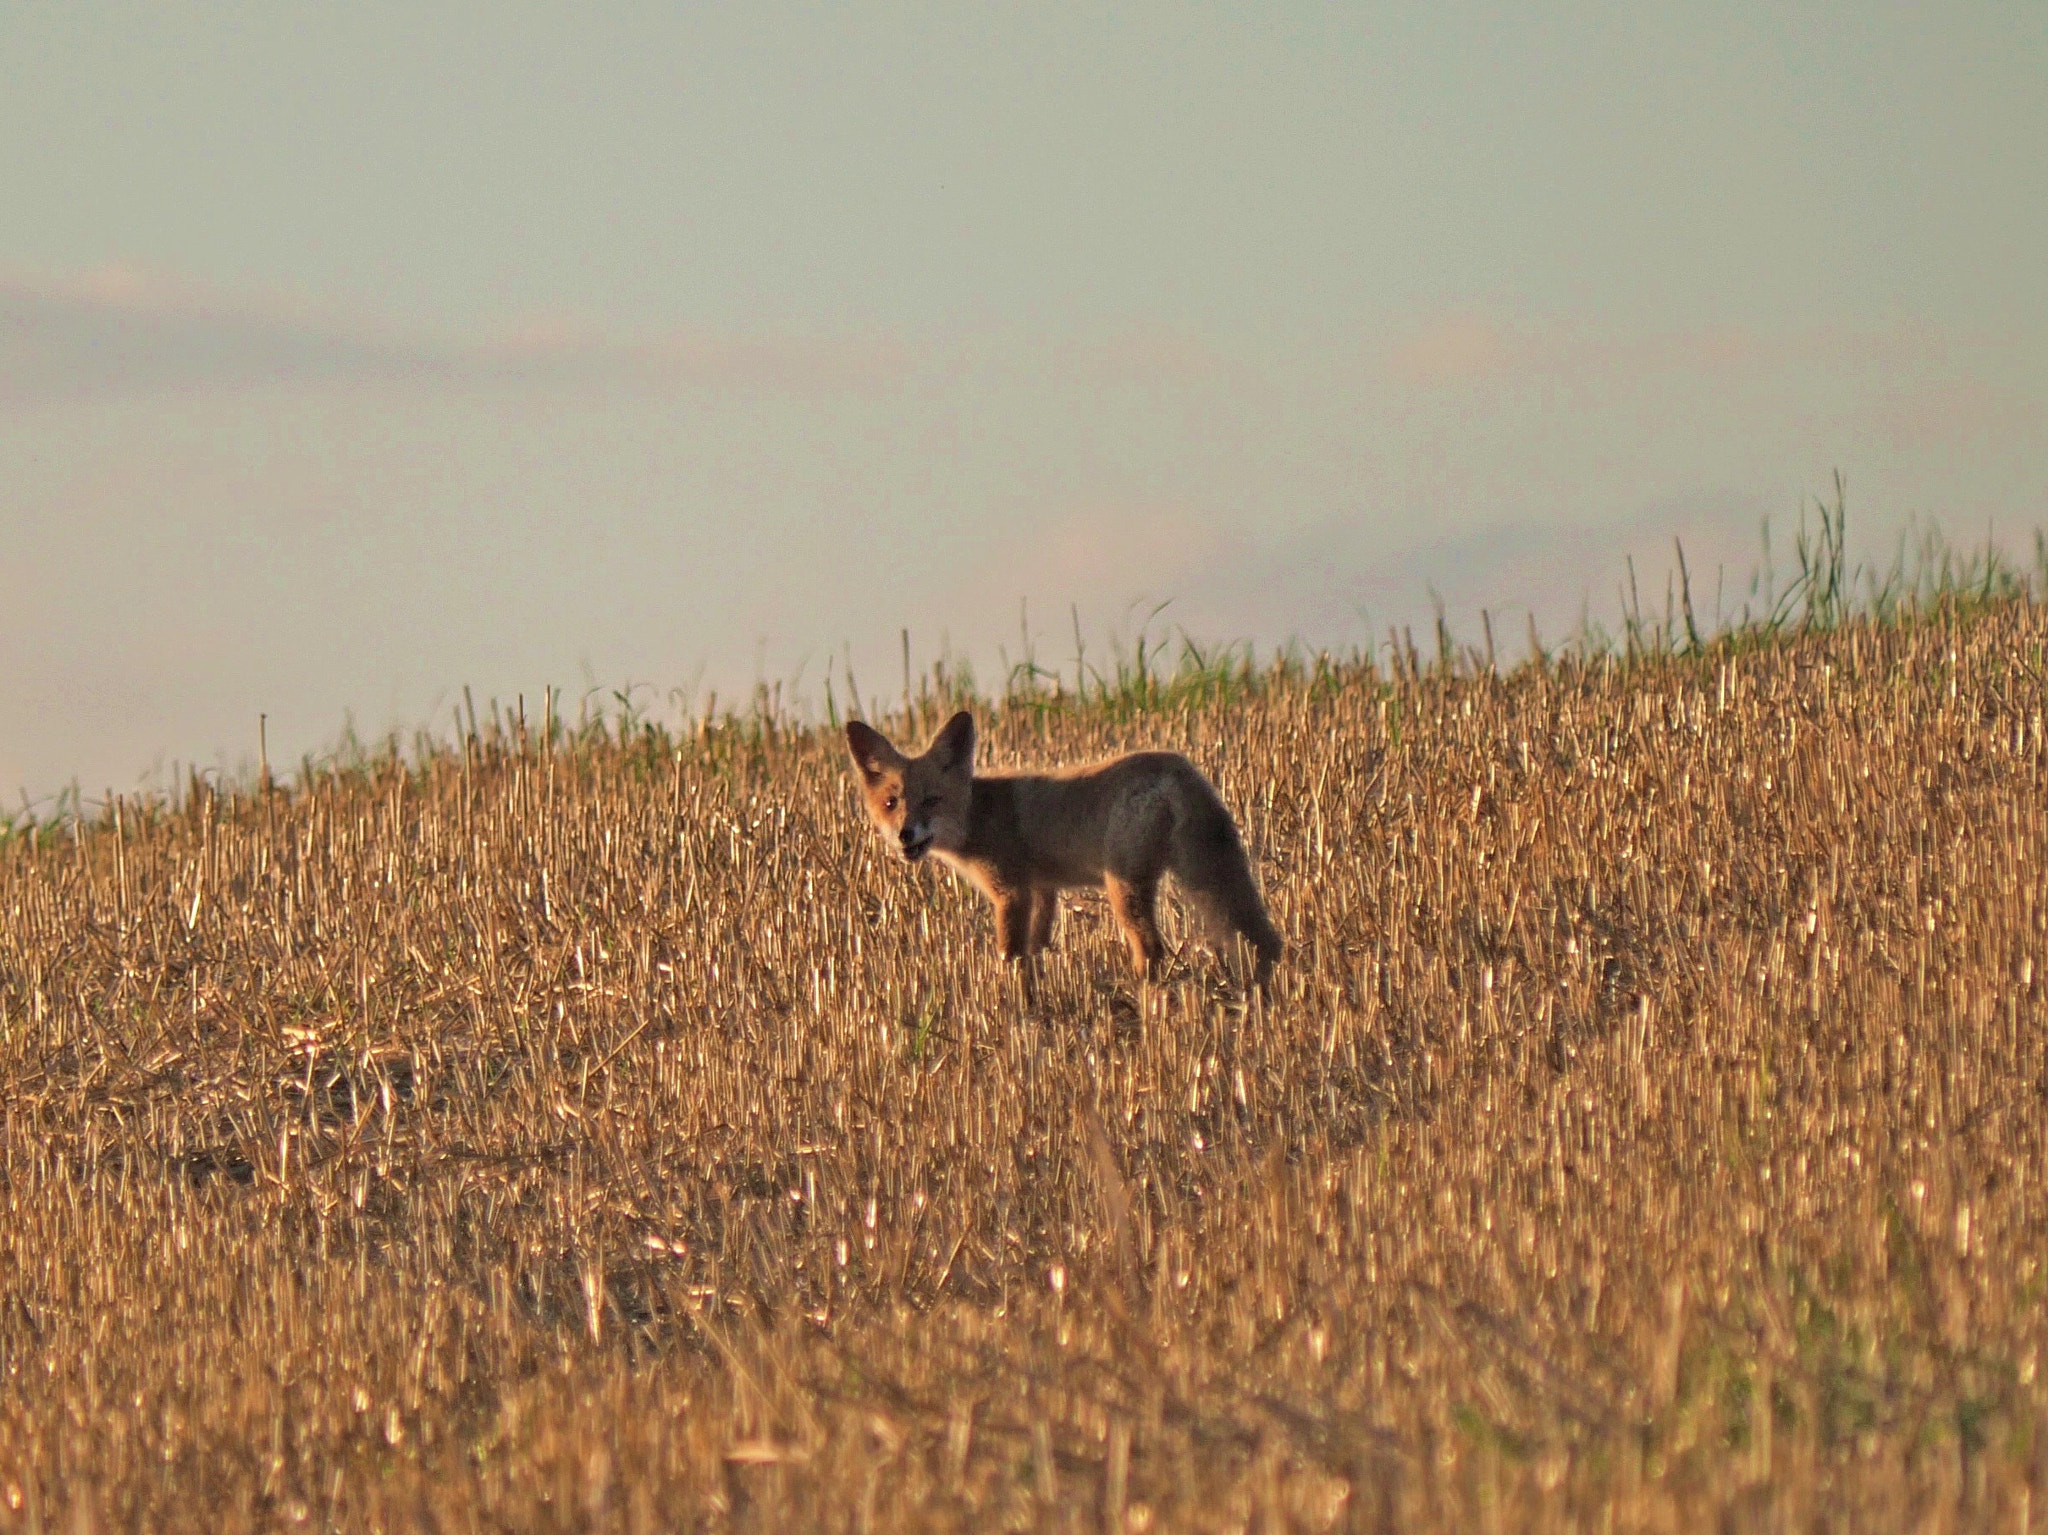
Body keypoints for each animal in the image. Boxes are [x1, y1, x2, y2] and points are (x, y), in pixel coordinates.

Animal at [845, 709, 1282, 983]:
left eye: (931, 800)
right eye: (892, 803)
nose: (905, 834)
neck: (976, 814)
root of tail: (1178, 766)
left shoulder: (1012, 892)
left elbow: (1010, 954)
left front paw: (1011, 1001)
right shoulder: (1042, 890)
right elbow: (1037, 949)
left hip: (1123, 887)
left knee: (1153, 948)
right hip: (1203, 874)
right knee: (1261, 937)